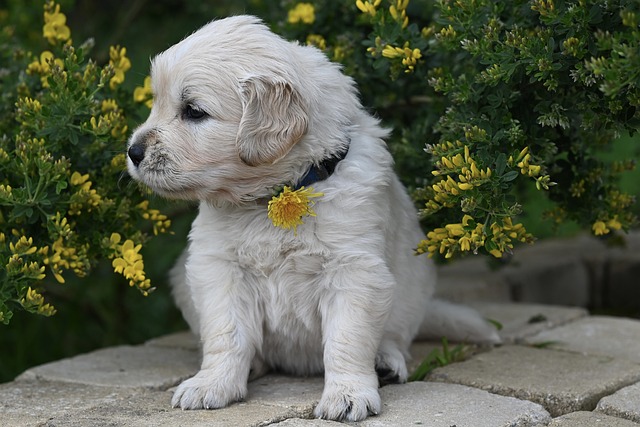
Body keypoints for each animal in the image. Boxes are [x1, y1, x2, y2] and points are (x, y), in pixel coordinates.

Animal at [126, 15, 500, 422]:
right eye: (157, 103)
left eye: (193, 111)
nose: (132, 152)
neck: (279, 195)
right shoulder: (218, 268)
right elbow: (226, 335)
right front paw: (212, 384)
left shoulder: (354, 270)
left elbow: (346, 340)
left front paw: (348, 394)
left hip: (413, 289)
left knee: (395, 336)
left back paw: (385, 362)